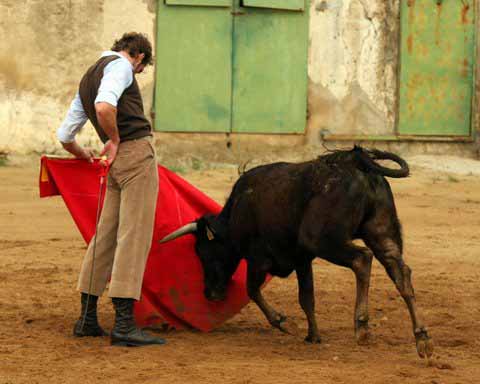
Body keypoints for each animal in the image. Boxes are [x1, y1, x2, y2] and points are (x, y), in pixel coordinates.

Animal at [161, 147, 436, 360]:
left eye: (204, 253)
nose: (210, 294)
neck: (237, 212)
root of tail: (356, 163)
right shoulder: (302, 259)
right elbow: (307, 297)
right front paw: (313, 335)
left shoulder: (259, 258)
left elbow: (253, 290)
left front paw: (285, 323)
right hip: (382, 233)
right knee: (400, 272)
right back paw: (422, 339)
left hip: (322, 240)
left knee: (362, 259)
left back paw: (362, 327)